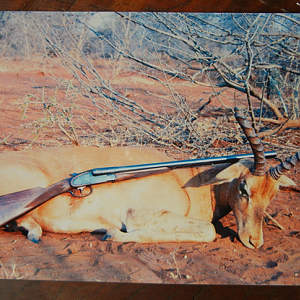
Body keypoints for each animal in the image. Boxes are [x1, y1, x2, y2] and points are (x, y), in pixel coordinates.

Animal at [0, 108, 298, 248]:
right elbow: (209, 231)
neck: (185, 179)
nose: (254, 241)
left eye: (273, 194)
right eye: (243, 188)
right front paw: (112, 234)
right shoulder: (138, 215)